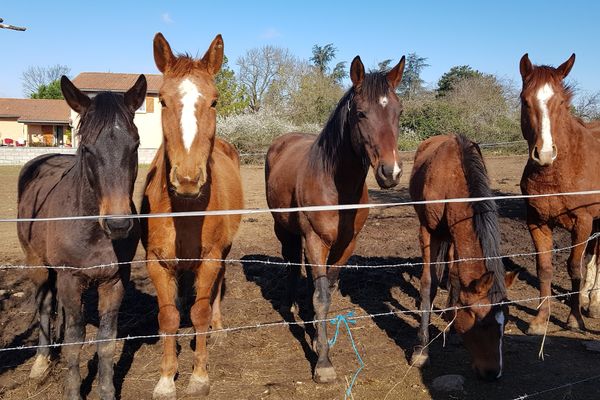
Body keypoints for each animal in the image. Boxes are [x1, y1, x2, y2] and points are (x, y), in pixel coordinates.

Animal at [17, 73, 146, 398]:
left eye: (135, 145)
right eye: (87, 148)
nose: (118, 225)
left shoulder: (114, 280)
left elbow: (106, 342)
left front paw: (107, 391)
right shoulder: (70, 277)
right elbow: (76, 342)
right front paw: (73, 391)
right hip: (38, 265)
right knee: (45, 306)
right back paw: (41, 363)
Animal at [139, 32, 243, 398]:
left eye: (214, 102)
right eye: (163, 102)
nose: (186, 179)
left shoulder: (210, 257)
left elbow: (199, 311)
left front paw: (199, 376)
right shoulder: (157, 262)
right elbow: (168, 317)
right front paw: (166, 379)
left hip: (223, 253)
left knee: (214, 291)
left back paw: (218, 328)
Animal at [266, 54, 404, 382]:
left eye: (398, 111)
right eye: (361, 113)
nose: (390, 173)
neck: (335, 185)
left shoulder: (346, 245)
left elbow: (326, 288)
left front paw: (319, 340)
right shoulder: (315, 240)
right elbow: (321, 298)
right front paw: (324, 364)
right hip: (284, 230)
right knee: (292, 264)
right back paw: (291, 306)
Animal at [410, 135, 516, 382]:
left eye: (505, 320)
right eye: (482, 322)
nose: (493, 373)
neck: (452, 180)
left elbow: (457, 278)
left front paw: (452, 321)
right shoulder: (428, 232)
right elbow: (428, 284)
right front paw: (421, 350)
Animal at [516, 53, 600, 334]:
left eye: (561, 102)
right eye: (525, 100)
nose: (543, 154)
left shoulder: (583, 222)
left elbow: (574, 268)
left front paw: (574, 319)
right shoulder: (537, 222)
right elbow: (544, 268)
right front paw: (540, 319)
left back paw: (593, 302)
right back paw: (587, 300)